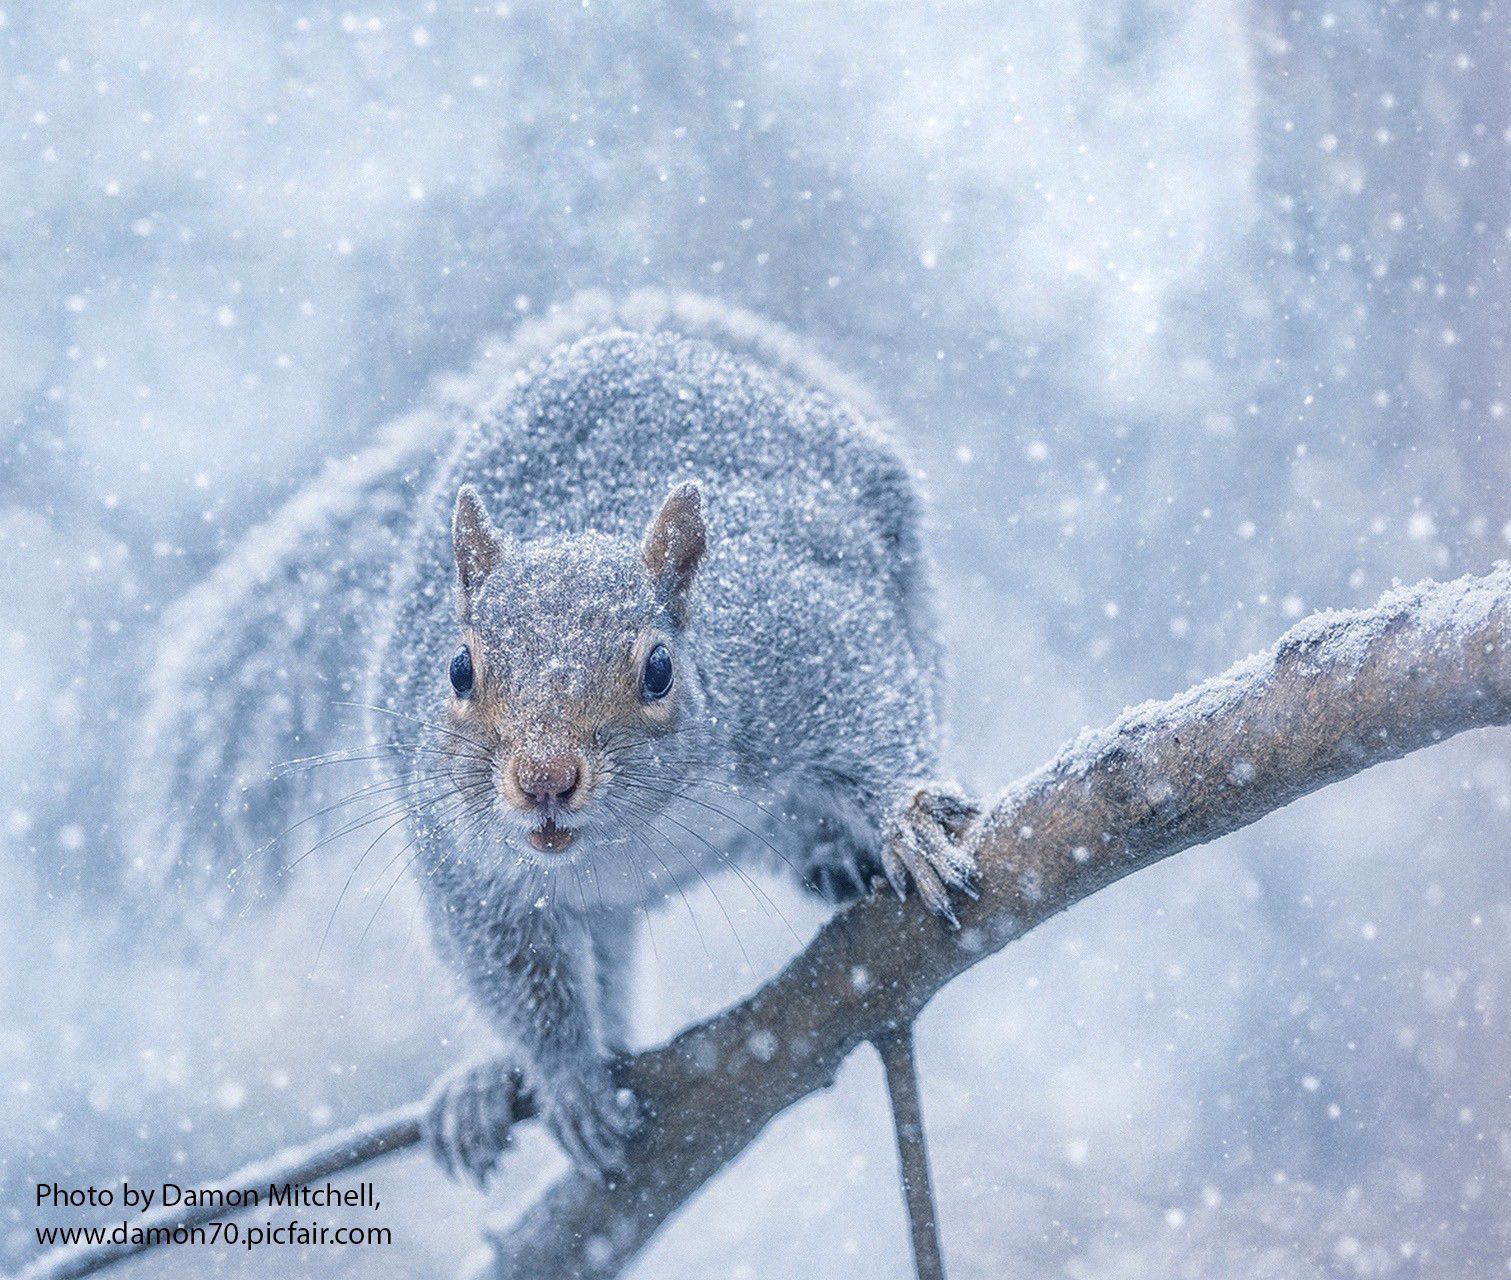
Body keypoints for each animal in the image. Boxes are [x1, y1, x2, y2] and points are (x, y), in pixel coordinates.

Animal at [128, 290, 979, 1186]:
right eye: (458, 668)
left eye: (659, 669)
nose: (543, 779)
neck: (639, 832)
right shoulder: (466, 866)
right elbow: (516, 974)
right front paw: (567, 1079)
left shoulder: (800, 649)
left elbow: (871, 715)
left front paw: (908, 822)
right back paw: (486, 1087)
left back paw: (837, 854)